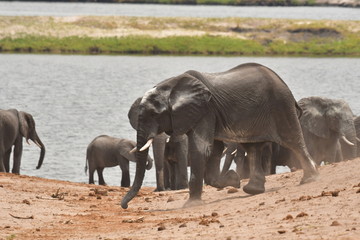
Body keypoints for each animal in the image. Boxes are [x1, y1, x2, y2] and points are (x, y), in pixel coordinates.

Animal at [121, 62, 318, 209]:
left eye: (154, 114)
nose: (125, 206)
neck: (172, 87)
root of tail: (281, 81)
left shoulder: (205, 110)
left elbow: (202, 148)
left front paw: (191, 205)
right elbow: (214, 148)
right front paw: (234, 180)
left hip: (280, 104)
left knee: (293, 140)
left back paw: (310, 179)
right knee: (253, 148)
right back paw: (252, 190)